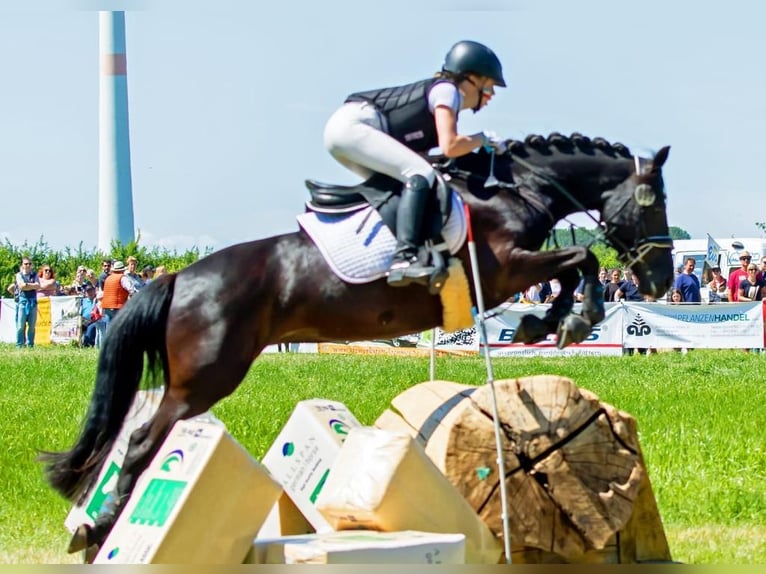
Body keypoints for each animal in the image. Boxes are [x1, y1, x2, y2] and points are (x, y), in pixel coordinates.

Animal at [39, 132, 676, 560]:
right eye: (654, 204)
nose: (661, 281)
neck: (512, 192)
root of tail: (177, 278)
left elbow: (574, 264)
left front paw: (550, 323)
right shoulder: (503, 271)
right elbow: (581, 257)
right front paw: (570, 319)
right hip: (204, 378)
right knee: (143, 442)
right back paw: (101, 534)